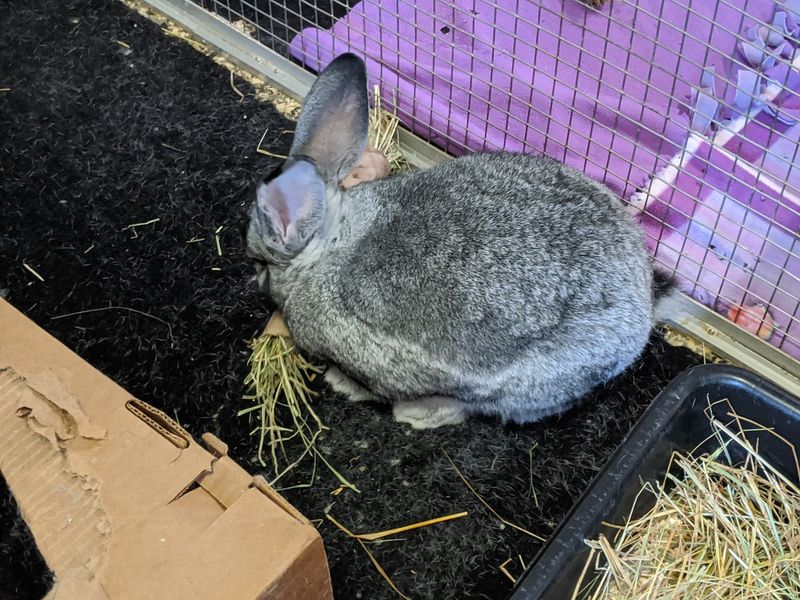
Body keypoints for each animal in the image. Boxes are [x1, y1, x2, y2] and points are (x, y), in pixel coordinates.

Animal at [244, 53, 678, 429]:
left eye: (261, 264)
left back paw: (418, 414)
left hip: (528, 380)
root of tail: (643, 302)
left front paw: (342, 383)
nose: (256, 280)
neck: (335, 242)